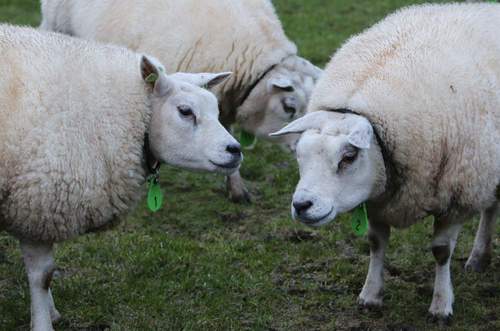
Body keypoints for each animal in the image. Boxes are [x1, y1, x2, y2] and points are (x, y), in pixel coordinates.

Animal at [0, 24, 242, 331]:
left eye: (216, 109)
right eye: (185, 111)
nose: (235, 150)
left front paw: (49, 311)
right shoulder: (37, 199)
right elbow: (42, 276)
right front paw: (43, 321)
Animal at [272, 2, 500, 322]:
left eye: (349, 156)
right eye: (299, 154)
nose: (302, 205)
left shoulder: (457, 194)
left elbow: (441, 251)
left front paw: (441, 305)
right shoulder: (377, 198)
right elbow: (375, 243)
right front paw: (371, 295)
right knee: (492, 205)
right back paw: (480, 257)